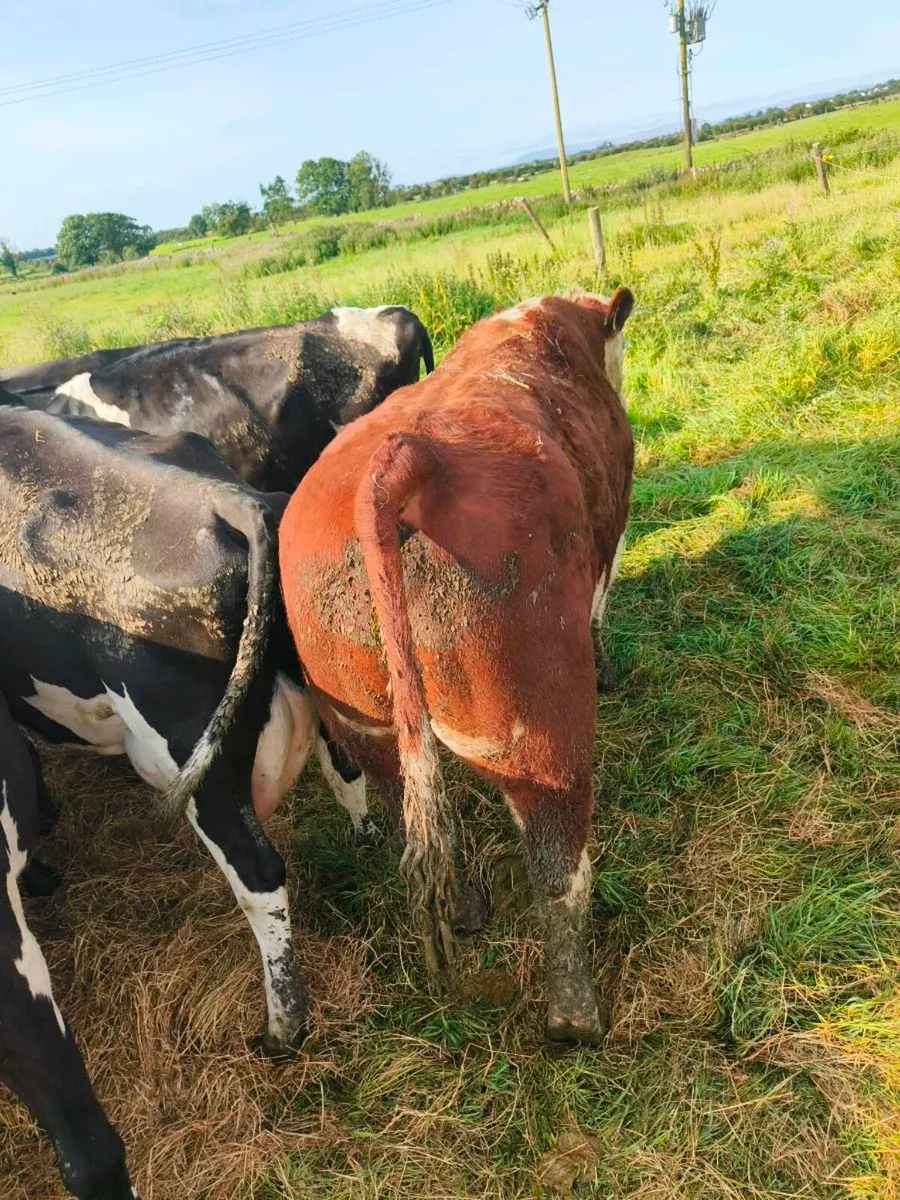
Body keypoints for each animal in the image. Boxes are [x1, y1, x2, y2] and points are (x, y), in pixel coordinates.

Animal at [278, 290, 635, 1044]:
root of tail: (407, 459)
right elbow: (600, 609)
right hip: (538, 734)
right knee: (557, 869)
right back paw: (575, 1016)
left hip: (364, 717)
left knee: (404, 806)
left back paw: (467, 907)